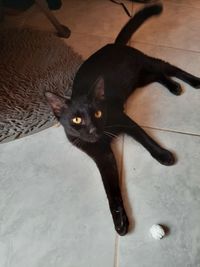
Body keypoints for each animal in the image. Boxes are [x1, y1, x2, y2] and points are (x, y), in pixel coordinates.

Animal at [45, 3, 200, 237]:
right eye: (77, 120)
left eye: (98, 114)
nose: (93, 131)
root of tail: (114, 45)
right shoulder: (101, 155)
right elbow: (111, 189)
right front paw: (119, 222)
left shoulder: (124, 120)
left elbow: (146, 139)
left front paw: (163, 156)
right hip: (139, 78)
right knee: (158, 76)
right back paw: (173, 87)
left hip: (145, 63)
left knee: (169, 68)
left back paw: (193, 82)